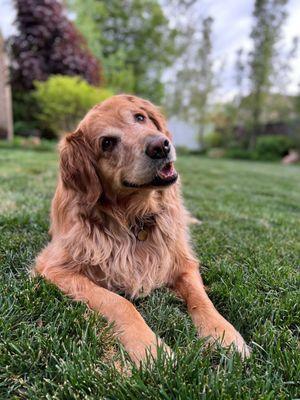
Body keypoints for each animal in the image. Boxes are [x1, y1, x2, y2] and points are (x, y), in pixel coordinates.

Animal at [32, 94, 250, 366]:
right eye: (106, 143)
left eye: (140, 117)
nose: (161, 146)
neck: (133, 216)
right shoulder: (54, 267)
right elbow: (120, 303)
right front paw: (150, 348)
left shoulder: (182, 261)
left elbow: (201, 299)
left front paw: (223, 333)